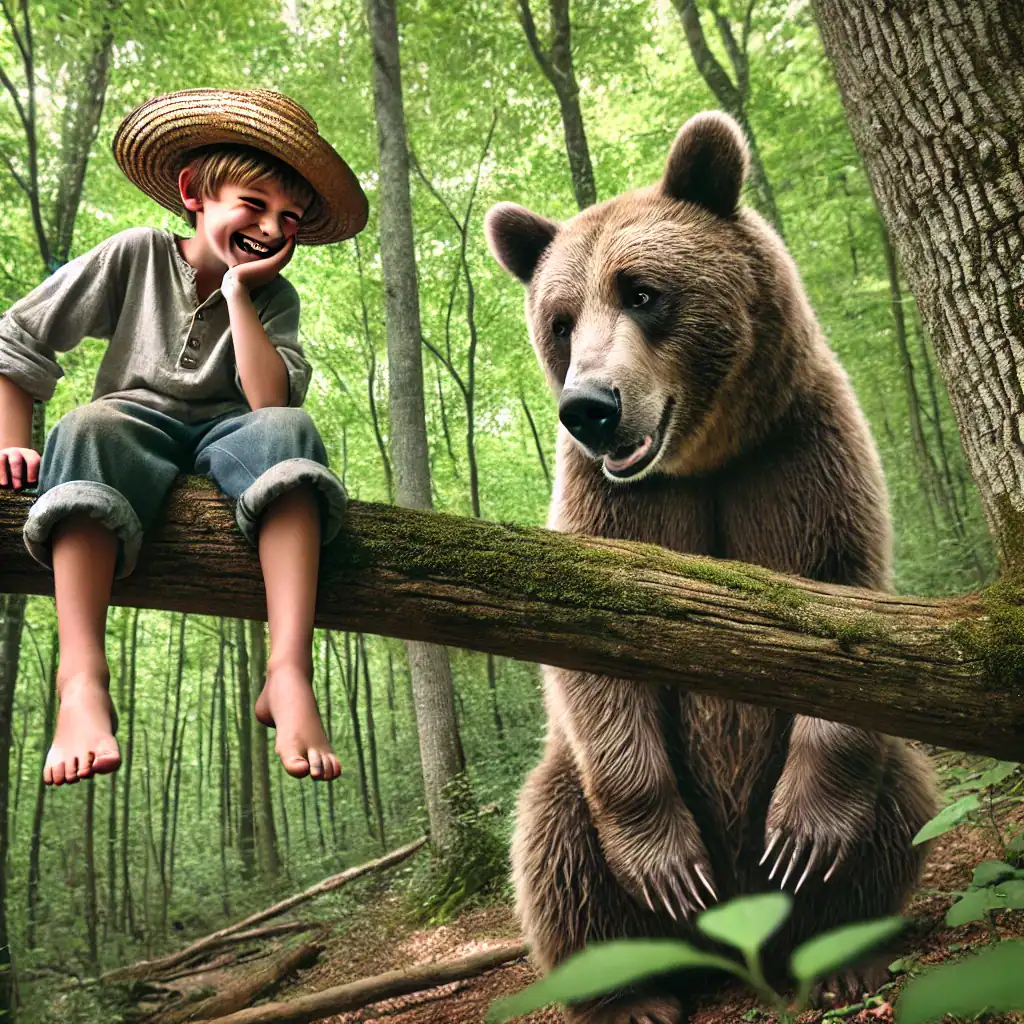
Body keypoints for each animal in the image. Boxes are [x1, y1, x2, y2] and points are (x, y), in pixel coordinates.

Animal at [484, 111, 939, 1024]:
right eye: (560, 319)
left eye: (642, 292)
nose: (590, 407)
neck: (705, 458)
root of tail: (733, 941)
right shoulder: (611, 508)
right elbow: (593, 668)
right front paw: (667, 866)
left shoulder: (799, 456)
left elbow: (849, 613)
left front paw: (806, 837)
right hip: (572, 799)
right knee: (555, 846)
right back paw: (632, 992)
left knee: (900, 793)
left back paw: (845, 952)